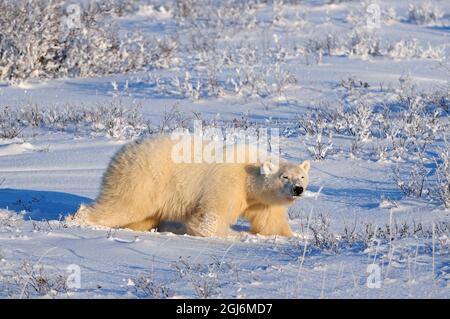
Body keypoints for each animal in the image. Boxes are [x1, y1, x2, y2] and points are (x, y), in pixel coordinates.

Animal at [69, 135, 310, 238]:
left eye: (302, 176)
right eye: (285, 177)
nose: (298, 189)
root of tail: (122, 152)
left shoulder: (260, 200)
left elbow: (270, 220)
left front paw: (289, 237)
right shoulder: (226, 183)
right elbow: (210, 218)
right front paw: (231, 235)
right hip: (144, 178)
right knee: (124, 205)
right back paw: (80, 220)